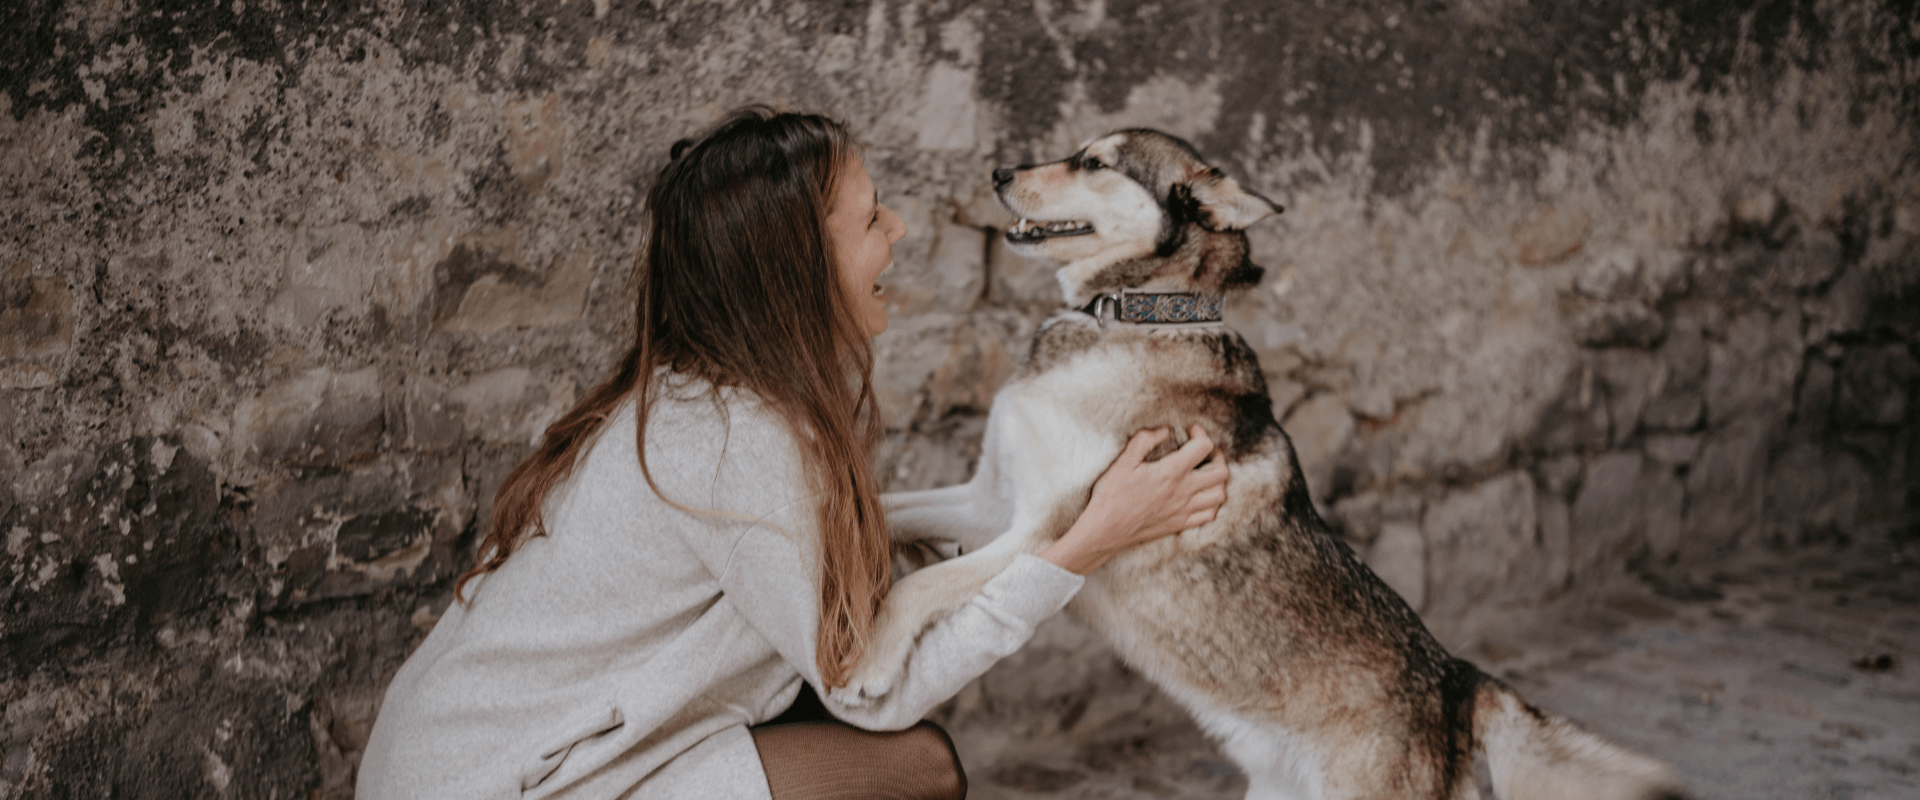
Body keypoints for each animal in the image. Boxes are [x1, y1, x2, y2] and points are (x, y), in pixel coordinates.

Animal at [833, 129, 1687, 800]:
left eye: (1093, 161)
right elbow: (890, 513)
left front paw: (869, 661)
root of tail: (1455, 682)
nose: (999, 170)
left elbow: (922, 584)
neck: (1134, 319)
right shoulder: (988, 501)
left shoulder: (1041, 534)